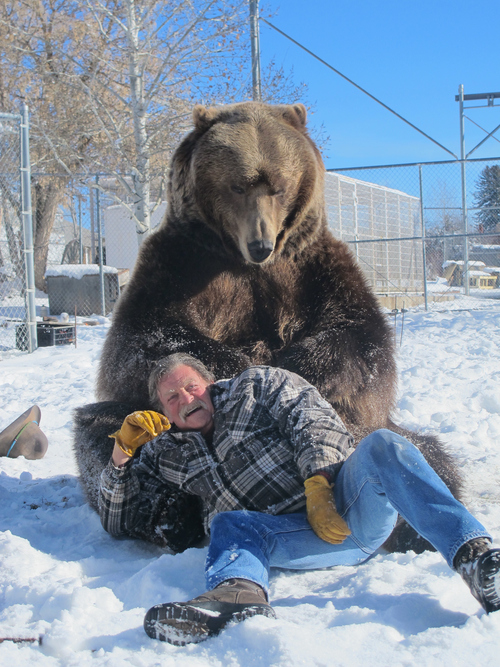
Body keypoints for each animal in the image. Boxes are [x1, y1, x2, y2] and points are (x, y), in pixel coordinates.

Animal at [73, 102, 460, 556]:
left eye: (278, 185)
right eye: (237, 186)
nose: (261, 244)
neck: (244, 262)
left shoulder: (314, 267)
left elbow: (359, 339)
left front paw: (297, 366)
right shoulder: (177, 266)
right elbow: (139, 342)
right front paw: (239, 362)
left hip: (374, 427)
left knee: (428, 457)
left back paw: (412, 528)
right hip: (130, 425)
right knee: (99, 427)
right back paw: (167, 511)